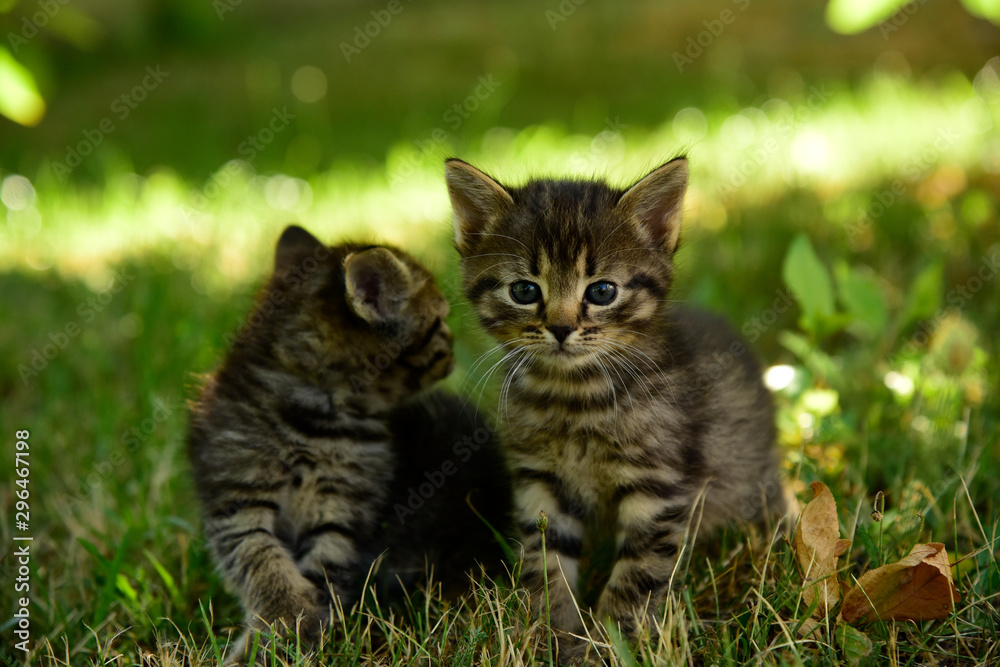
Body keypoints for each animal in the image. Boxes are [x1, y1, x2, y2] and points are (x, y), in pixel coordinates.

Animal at [189, 226, 508, 664]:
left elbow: (324, 565)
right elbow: (261, 562)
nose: (453, 346)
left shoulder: (342, 507)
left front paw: (299, 634)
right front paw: (282, 625)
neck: (316, 419)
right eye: (439, 321)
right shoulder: (237, 500)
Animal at [448, 159, 788, 660]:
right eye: (525, 291)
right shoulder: (539, 483)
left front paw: (607, 645)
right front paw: (550, 634)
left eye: (602, 291)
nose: (561, 328)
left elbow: (636, 577)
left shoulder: (659, 487)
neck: (574, 398)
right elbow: (545, 562)